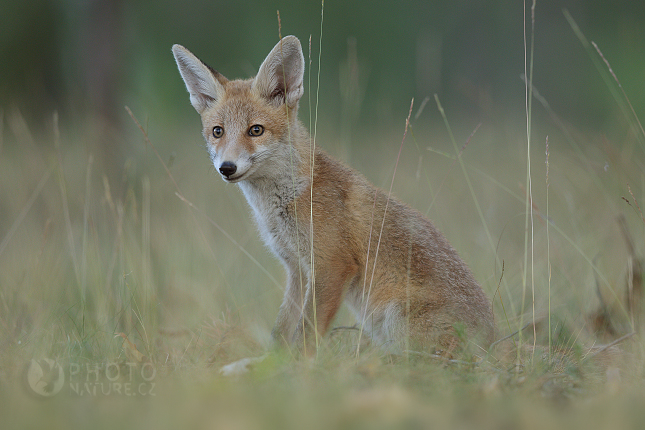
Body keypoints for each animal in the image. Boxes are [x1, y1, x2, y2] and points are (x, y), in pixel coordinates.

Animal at [171, 37, 494, 364]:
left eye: (255, 130)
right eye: (218, 132)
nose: (227, 167)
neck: (290, 198)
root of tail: (494, 343)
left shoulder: (332, 266)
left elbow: (305, 336)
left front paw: (298, 369)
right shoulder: (298, 270)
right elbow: (280, 332)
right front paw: (268, 366)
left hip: (397, 319)